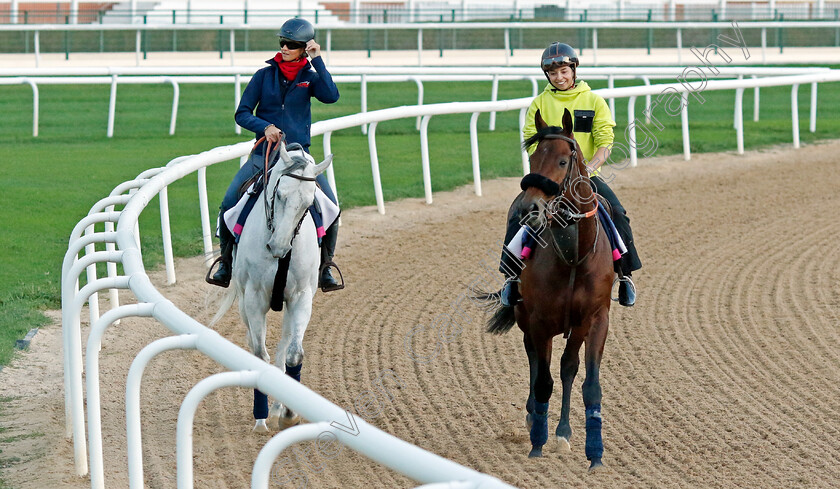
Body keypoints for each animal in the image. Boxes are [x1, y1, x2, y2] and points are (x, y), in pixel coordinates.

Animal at [212, 139, 334, 428]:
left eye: (309, 203)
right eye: (279, 194)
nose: (278, 247)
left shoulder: (301, 297)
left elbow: (293, 354)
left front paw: (288, 414)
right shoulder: (254, 298)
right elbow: (260, 355)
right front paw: (260, 416)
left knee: (283, 346)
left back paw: (280, 405)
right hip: (244, 302)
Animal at [482, 107, 612, 468]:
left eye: (563, 161)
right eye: (533, 157)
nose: (529, 209)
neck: (573, 258)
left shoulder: (591, 318)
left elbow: (578, 374)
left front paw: (574, 441)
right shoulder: (539, 320)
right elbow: (542, 379)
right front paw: (537, 443)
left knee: (564, 368)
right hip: (527, 316)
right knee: (533, 359)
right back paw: (531, 417)